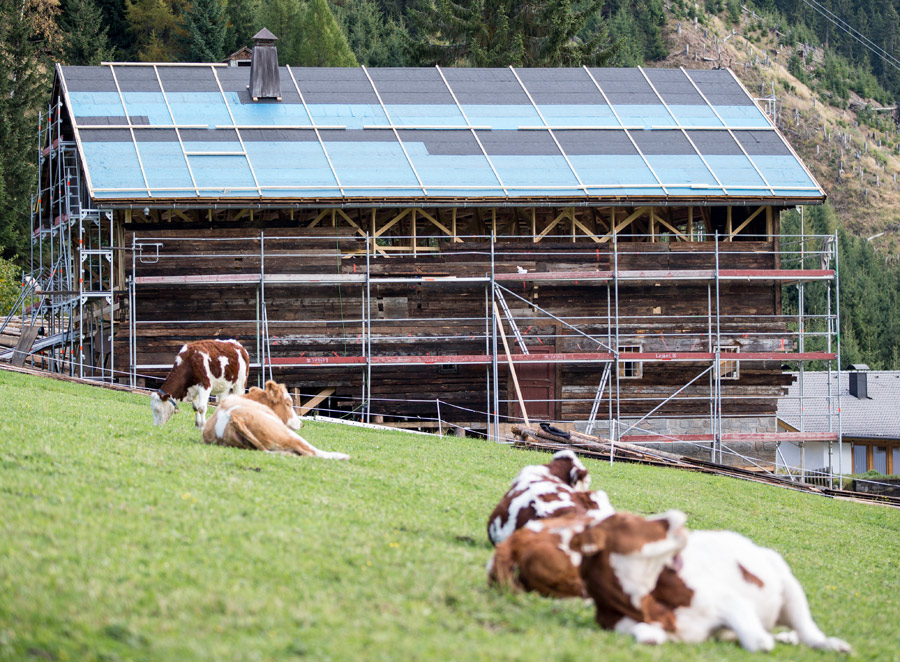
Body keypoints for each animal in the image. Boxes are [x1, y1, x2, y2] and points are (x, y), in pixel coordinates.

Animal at [202, 394, 350, 462]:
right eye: (288, 404)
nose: (301, 424)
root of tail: (233, 417)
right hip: (284, 433)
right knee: (311, 451)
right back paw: (342, 456)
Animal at [576, 510, 852, 656]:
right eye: (627, 521)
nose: (675, 514)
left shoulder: (723, 599)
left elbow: (757, 641)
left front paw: (762, 640)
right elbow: (645, 636)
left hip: (788, 585)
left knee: (808, 630)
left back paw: (832, 645)